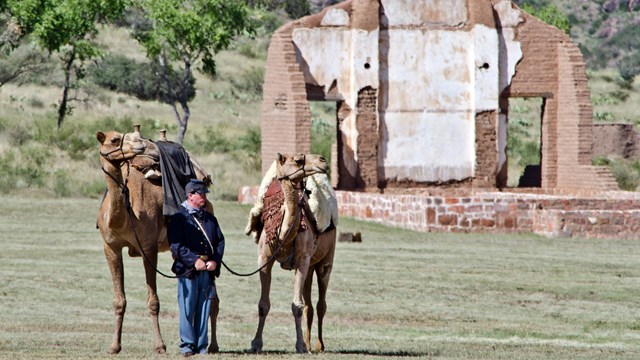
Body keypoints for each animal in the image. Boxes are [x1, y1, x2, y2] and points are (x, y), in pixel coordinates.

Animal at [95, 126, 220, 354]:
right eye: (114, 140)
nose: (140, 144)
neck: (126, 216)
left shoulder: (148, 248)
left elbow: (153, 302)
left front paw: (160, 345)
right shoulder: (110, 247)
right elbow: (119, 300)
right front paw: (114, 346)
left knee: (212, 298)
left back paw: (212, 345)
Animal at [244, 153, 338, 352]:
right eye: (297, 160)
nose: (322, 160)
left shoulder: (302, 260)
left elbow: (297, 306)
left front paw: (300, 346)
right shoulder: (264, 259)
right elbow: (263, 305)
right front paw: (255, 344)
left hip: (325, 260)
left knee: (321, 303)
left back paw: (318, 345)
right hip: (310, 265)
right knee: (310, 305)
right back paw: (310, 343)